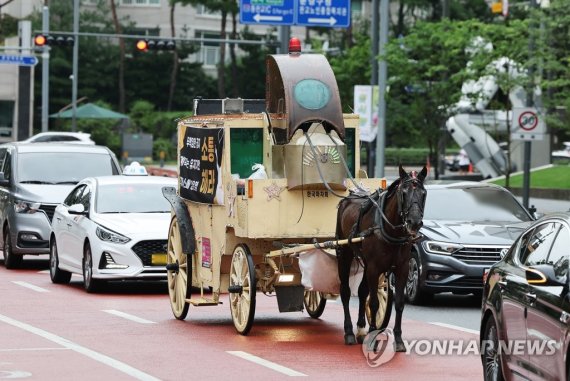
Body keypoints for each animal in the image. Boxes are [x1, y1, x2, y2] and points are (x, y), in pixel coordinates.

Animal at [332, 165, 426, 348]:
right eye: (404, 192)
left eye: (424, 193)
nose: (415, 222)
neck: (390, 230)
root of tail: (348, 197)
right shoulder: (375, 268)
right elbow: (374, 303)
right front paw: (373, 336)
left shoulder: (402, 268)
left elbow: (399, 303)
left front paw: (398, 339)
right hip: (344, 255)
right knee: (345, 292)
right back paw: (349, 332)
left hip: (366, 264)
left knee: (362, 291)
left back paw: (361, 329)